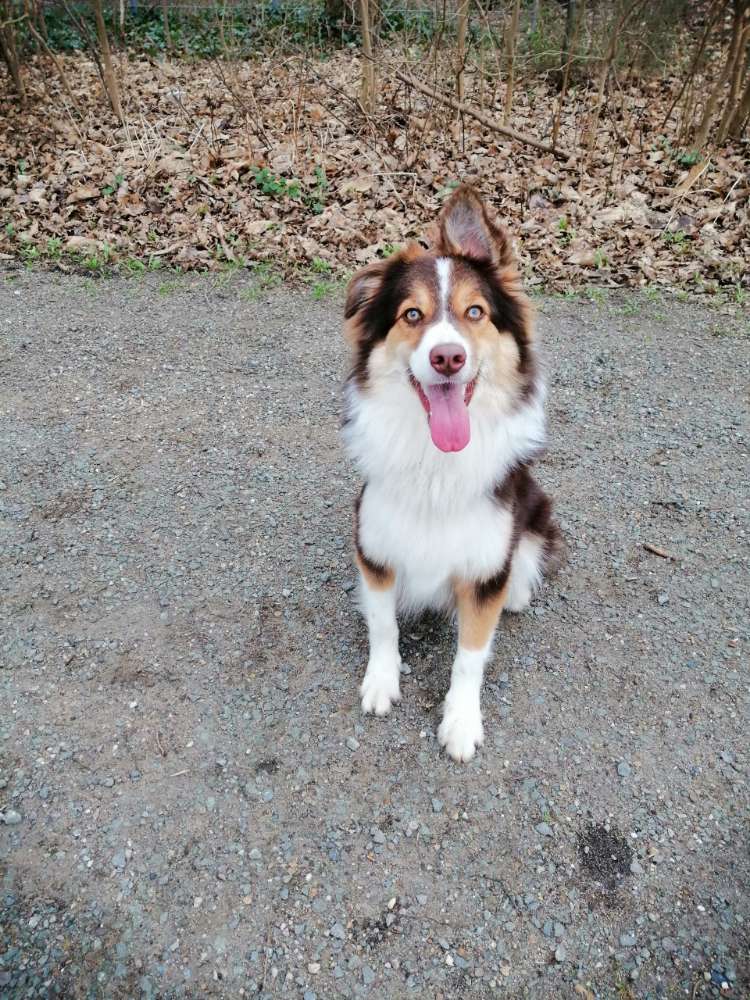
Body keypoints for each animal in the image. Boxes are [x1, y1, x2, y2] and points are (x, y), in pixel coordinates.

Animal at [341, 186, 560, 761]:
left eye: (476, 312)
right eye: (412, 314)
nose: (447, 357)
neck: (434, 464)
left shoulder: (484, 572)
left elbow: (470, 656)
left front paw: (461, 722)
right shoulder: (375, 547)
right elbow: (383, 625)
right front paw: (381, 682)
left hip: (535, 506)